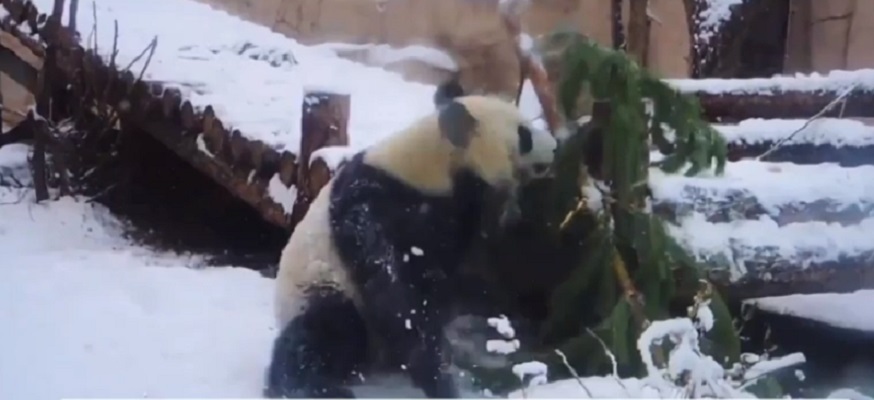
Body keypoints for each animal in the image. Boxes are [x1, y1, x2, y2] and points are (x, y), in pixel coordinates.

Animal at [265, 81, 557, 399]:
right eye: (524, 134)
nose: (555, 145)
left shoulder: (455, 216)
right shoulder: (374, 202)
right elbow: (393, 286)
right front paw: (438, 377)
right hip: (317, 286)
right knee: (326, 329)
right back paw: (308, 384)